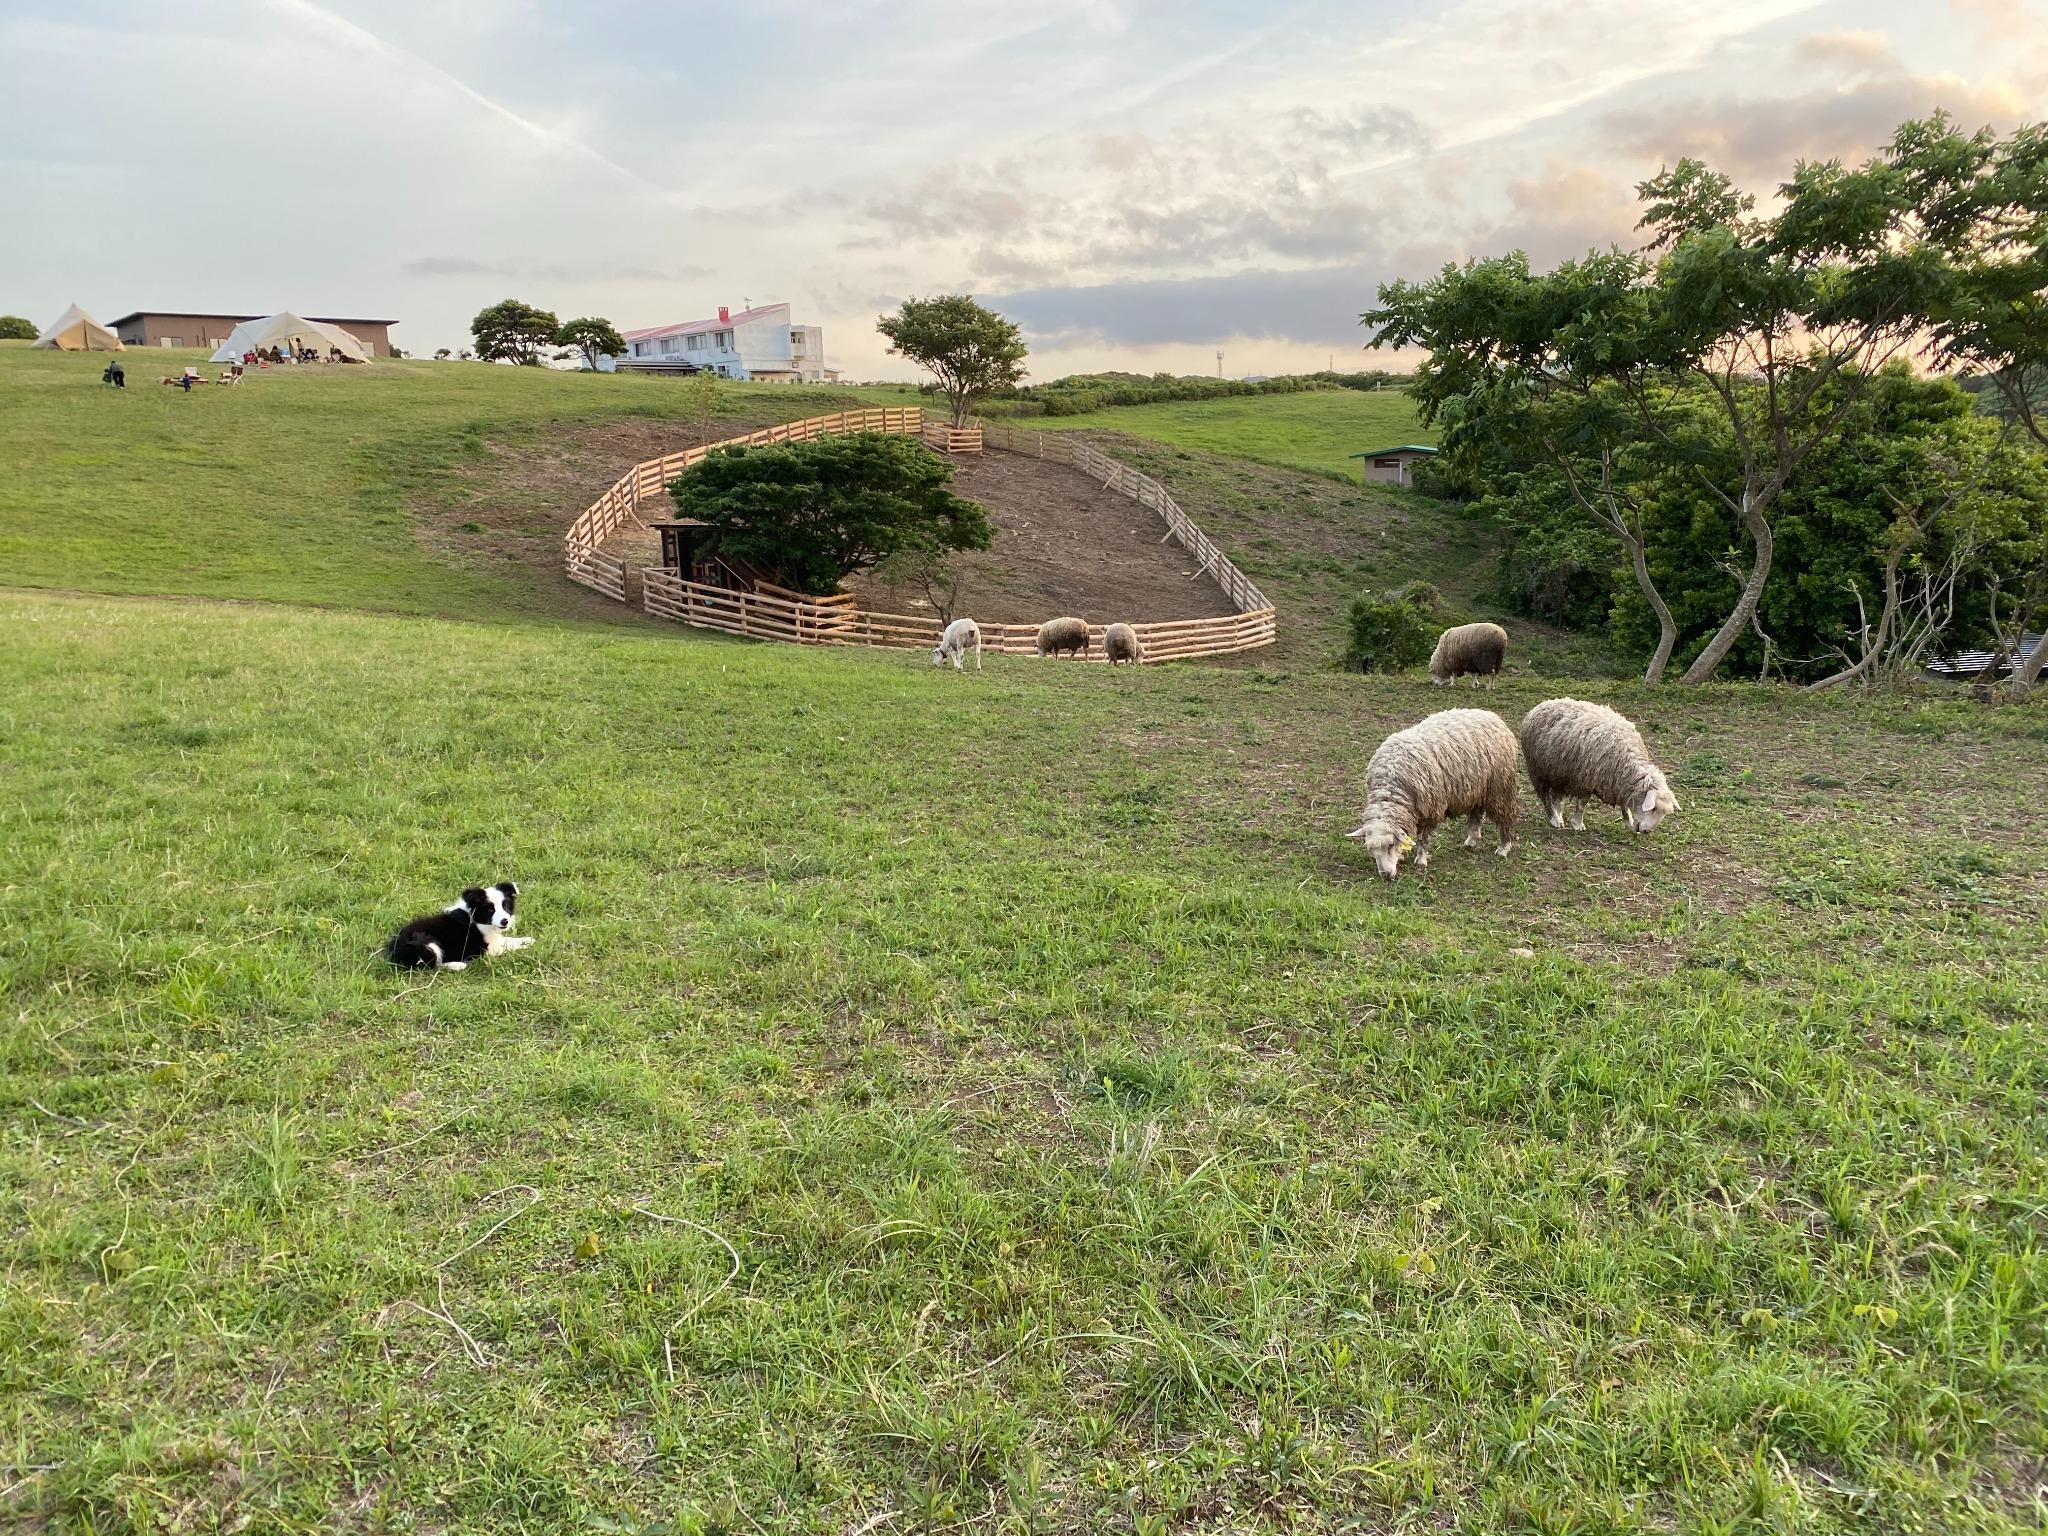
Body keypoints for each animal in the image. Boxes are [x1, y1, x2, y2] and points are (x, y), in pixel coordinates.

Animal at [382, 884, 528, 966]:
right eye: (490, 910)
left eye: (506, 907)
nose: (505, 921)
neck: (477, 920)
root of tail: (393, 947)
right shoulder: (486, 947)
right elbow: (506, 945)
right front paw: (526, 945)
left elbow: (507, 940)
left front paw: (527, 940)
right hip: (426, 944)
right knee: (433, 965)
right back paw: (459, 965)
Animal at [1343, 708, 1523, 876]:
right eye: (1371, 850)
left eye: (1390, 844)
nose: (1385, 875)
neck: (1391, 790)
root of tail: (1490, 715)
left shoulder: (1429, 809)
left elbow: (1423, 838)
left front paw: (1421, 860)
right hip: (1477, 788)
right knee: (1476, 813)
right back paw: (1471, 840)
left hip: (1499, 787)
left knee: (1505, 816)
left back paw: (1503, 847)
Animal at [1523, 700, 1679, 835]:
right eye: (1653, 809)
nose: (1647, 832)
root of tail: (1544, 703)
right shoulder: (1585, 780)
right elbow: (1582, 804)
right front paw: (1578, 824)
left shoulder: (1619, 784)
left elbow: (1624, 806)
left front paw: (1628, 822)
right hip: (1538, 771)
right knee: (1545, 797)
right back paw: (1554, 819)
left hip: (1559, 772)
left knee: (1556, 795)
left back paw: (1559, 816)